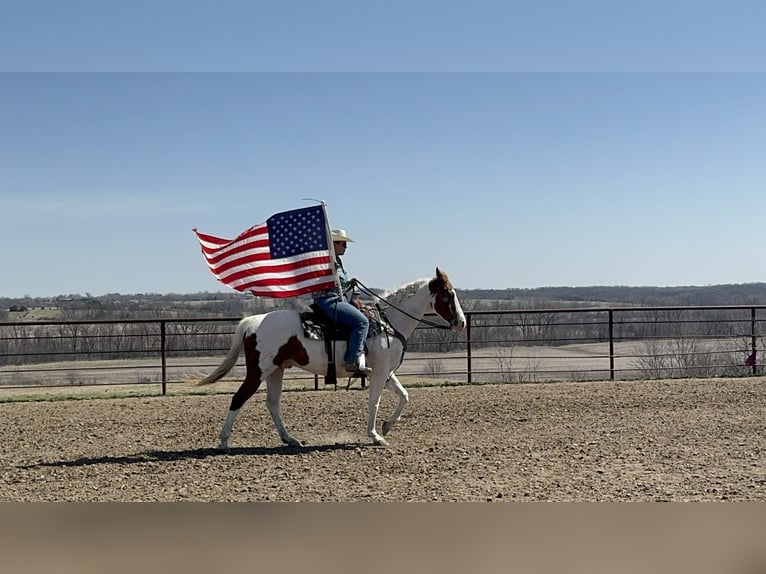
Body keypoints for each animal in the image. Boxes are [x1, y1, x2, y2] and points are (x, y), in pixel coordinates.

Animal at [196, 267, 466, 449]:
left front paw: (387, 427)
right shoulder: (380, 372)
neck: (388, 324)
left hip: (276, 370)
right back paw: (224, 442)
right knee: (239, 398)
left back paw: (290, 439)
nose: (461, 323)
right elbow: (374, 402)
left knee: (272, 403)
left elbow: (405, 395)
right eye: (448, 295)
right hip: (258, 371)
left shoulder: (385, 372)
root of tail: (253, 321)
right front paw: (375, 435)